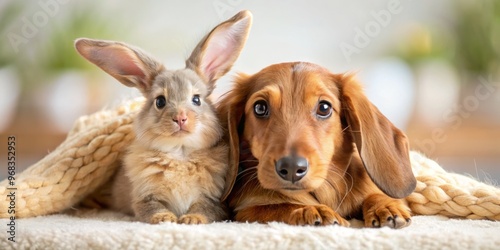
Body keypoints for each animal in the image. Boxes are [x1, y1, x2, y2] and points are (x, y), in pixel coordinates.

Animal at [73, 10, 254, 225]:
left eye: (196, 99)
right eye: (160, 101)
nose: (180, 118)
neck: (180, 152)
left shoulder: (214, 201)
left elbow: (204, 209)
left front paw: (191, 219)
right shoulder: (145, 198)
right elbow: (152, 207)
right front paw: (165, 218)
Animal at [217, 61, 416, 228]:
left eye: (324, 107)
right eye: (260, 107)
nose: (291, 168)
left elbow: (375, 194)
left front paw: (385, 206)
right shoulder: (246, 210)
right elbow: (279, 206)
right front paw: (309, 209)